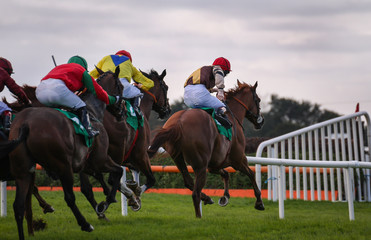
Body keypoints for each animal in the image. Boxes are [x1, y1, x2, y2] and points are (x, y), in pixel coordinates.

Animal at [0, 68, 125, 240]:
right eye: (121, 87)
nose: (122, 110)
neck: (91, 112)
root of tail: (25, 123)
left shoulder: (86, 165)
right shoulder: (99, 160)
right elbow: (118, 171)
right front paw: (106, 202)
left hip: (23, 172)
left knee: (18, 207)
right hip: (63, 166)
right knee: (69, 198)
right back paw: (85, 224)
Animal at [147, 80, 264, 218]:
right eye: (258, 100)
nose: (261, 121)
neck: (232, 116)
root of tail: (178, 123)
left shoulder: (214, 163)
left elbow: (225, 174)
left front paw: (224, 197)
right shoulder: (238, 159)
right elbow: (250, 173)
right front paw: (259, 202)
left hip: (178, 157)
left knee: (189, 182)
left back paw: (207, 198)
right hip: (201, 164)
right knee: (195, 193)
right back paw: (199, 217)